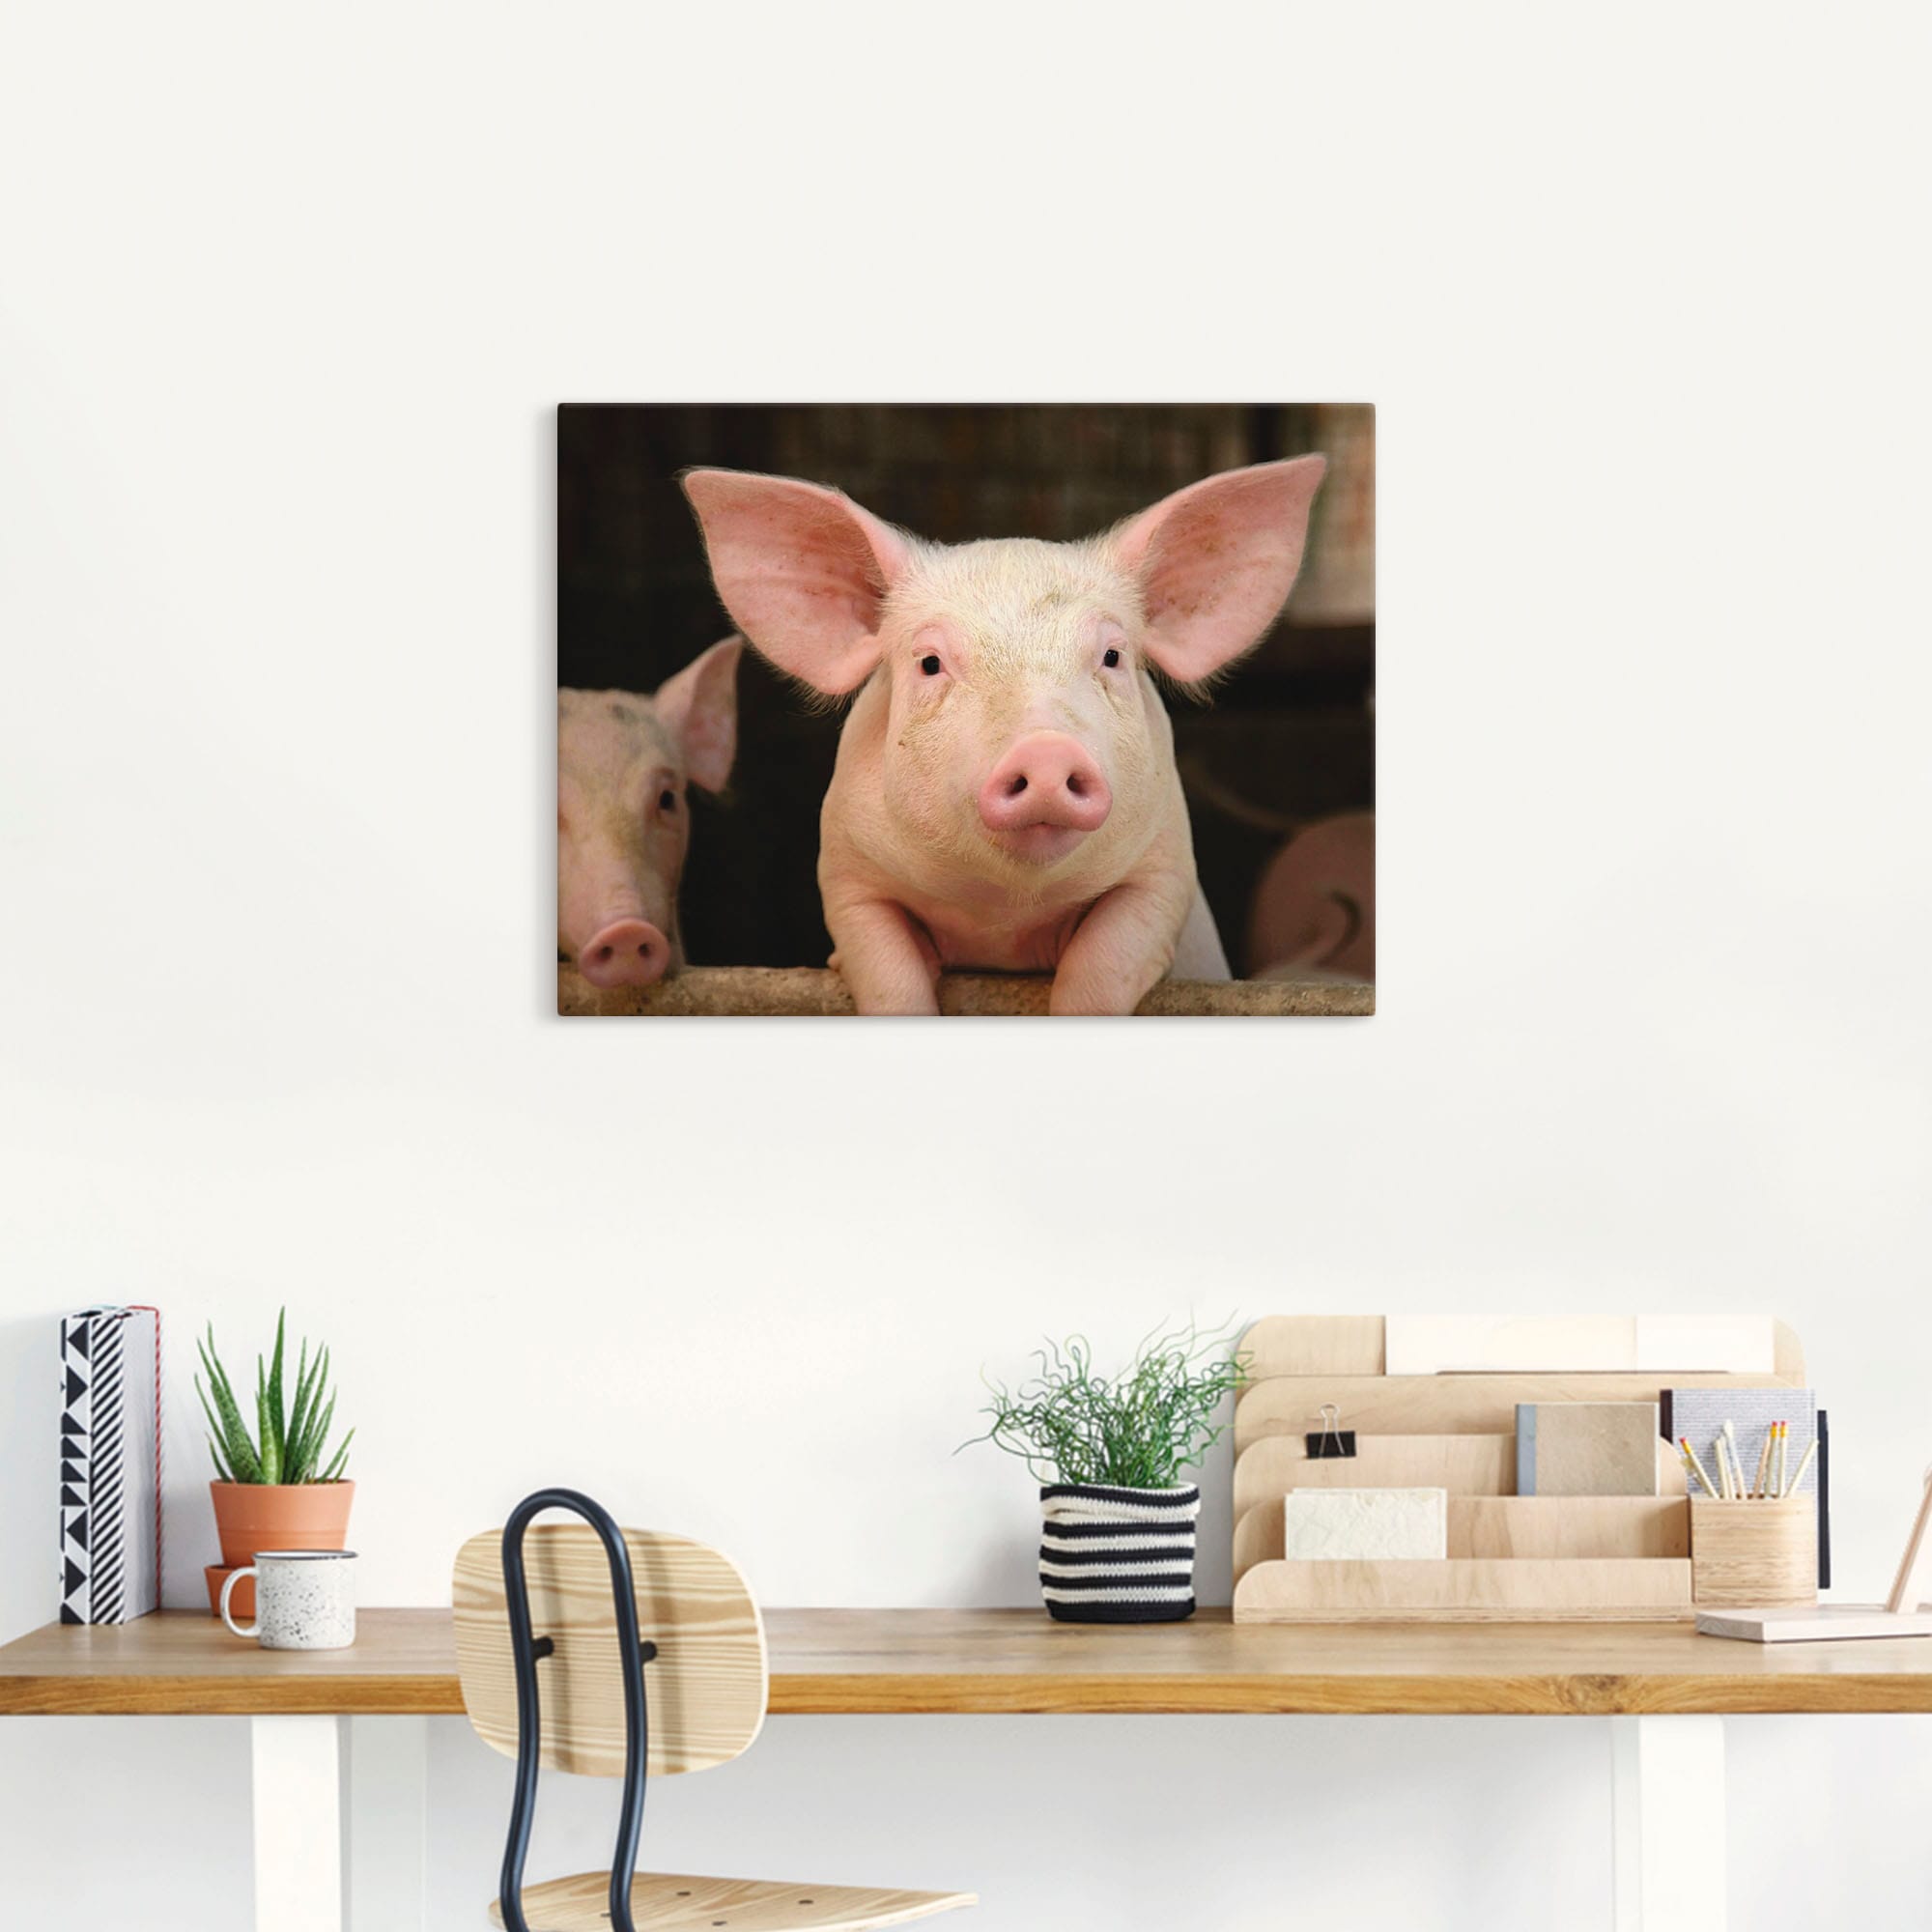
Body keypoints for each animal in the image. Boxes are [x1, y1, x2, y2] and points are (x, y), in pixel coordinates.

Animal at [682, 459, 1325, 1013]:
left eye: (1112, 656)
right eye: (930, 663)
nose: (1045, 750)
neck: (1004, 916)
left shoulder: (1165, 868)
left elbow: (1103, 964)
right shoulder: (846, 873)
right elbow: (887, 972)